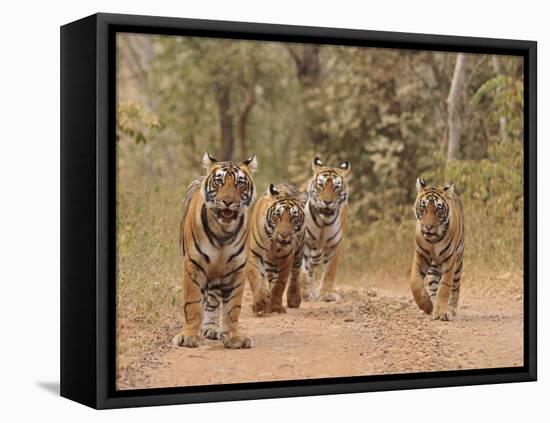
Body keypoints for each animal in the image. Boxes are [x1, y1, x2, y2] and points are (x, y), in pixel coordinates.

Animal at [172, 151, 258, 350]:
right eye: (219, 182)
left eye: (239, 183)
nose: (228, 202)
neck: (223, 232)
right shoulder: (194, 265)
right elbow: (193, 303)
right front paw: (189, 337)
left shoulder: (236, 269)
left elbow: (232, 308)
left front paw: (234, 338)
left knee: (212, 301)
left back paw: (211, 328)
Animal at [248, 183, 308, 314]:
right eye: (277, 216)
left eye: (293, 218)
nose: (284, 235)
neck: (274, 244)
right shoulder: (255, 254)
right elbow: (257, 279)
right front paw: (260, 303)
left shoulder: (286, 259)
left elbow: (280, 284)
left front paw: (276, 306)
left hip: (298, 252)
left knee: (295, 274)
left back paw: (293, 299)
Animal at [300, 157, 352, 304]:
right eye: (321, 185)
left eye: (336, 187)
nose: (327, 202)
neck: (324, 222)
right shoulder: (302, 242)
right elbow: (301, 271)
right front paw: (302, 292)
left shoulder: (336, 245)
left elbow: (330, 271)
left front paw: (327, 294)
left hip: (316, 254)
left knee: (311, 269)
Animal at [414, 178, 466, 322]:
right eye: (423, 207)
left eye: (438, 210)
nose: (428, 227)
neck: (433, 240)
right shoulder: (420, 255)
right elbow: (415, 283)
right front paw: (426, 306)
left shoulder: (450, 260)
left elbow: (444, 287)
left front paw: (442, 312)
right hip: (433, 267)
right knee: (433, 286)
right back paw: (432, 306)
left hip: (458, 265)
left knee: (455, 287)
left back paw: (451, 309)